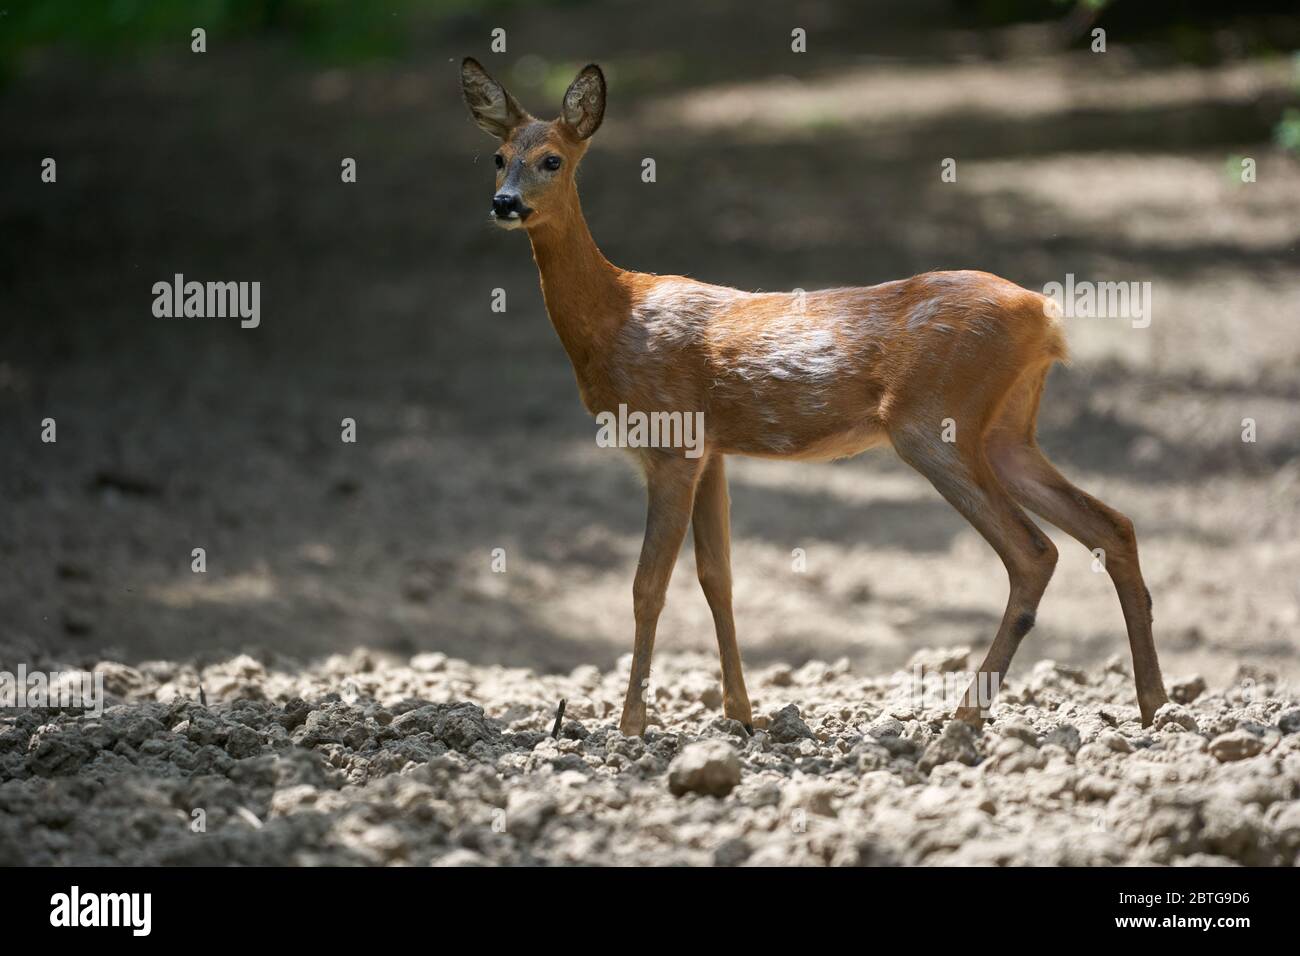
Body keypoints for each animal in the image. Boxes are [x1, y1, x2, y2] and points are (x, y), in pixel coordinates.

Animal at [459, 58, 1170, 737]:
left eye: (553, 159)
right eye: (497, 156)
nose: (505, 203)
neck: (615, 315)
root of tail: (1044, 317)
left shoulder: (671, 443)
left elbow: (647, 586)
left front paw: (630, 728)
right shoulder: (712, 450)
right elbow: (718, 578)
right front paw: (742, 715)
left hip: (934, 422)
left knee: (1035, 551)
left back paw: (966, 717)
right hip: (1006, 430)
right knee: (1113, 524)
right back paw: (1152, 706)